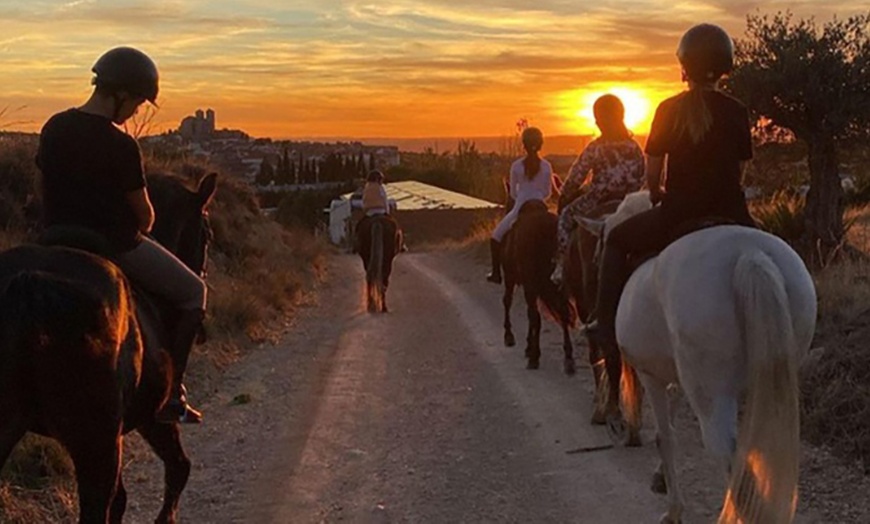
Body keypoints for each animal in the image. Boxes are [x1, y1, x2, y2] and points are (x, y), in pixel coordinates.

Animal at [0, 173, 217, 524]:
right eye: (207, 233)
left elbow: (123, 499)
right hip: (96, 443)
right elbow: (178, 469)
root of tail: (30, 280)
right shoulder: (151, 418)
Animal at [500, 201, 576, 372]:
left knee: (535, 316)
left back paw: (535, 357)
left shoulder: (513, 279)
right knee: (562, 313)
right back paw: (568, 359)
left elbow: (509, 302)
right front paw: (529, 346)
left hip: (528, 283)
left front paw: (511, 337)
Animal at [584, 192, 816, 524]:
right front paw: (660, 478)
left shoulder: (651, 376)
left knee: (731, 458)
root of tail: (750, 254)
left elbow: (665, 437)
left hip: (711, 395)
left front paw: (673, 509)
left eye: (602, 244)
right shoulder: (681, 379)